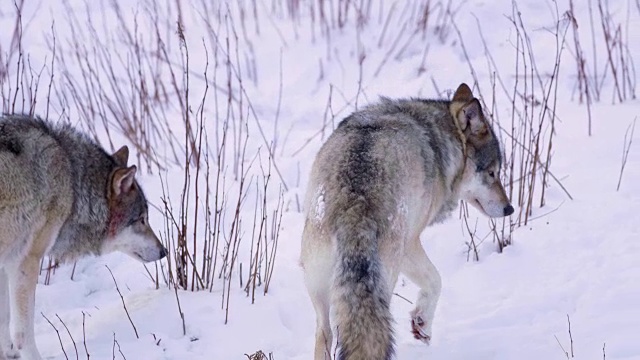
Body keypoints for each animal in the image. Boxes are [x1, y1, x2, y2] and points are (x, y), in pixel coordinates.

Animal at [0, 116, 168, 360]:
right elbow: (23, 333)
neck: (72, 184)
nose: (164, 251)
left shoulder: (6, 261)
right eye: (141, 220)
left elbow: (3, 322)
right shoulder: (24, 262)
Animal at [300, 83, 516, 358]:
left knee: (324, 334)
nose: (509, 209)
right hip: (384, 280)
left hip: (321, 292)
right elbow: (436, 280)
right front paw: (422, 324)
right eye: (492, 173)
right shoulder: (411, 242)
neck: (438, 140)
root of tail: (354, 205)